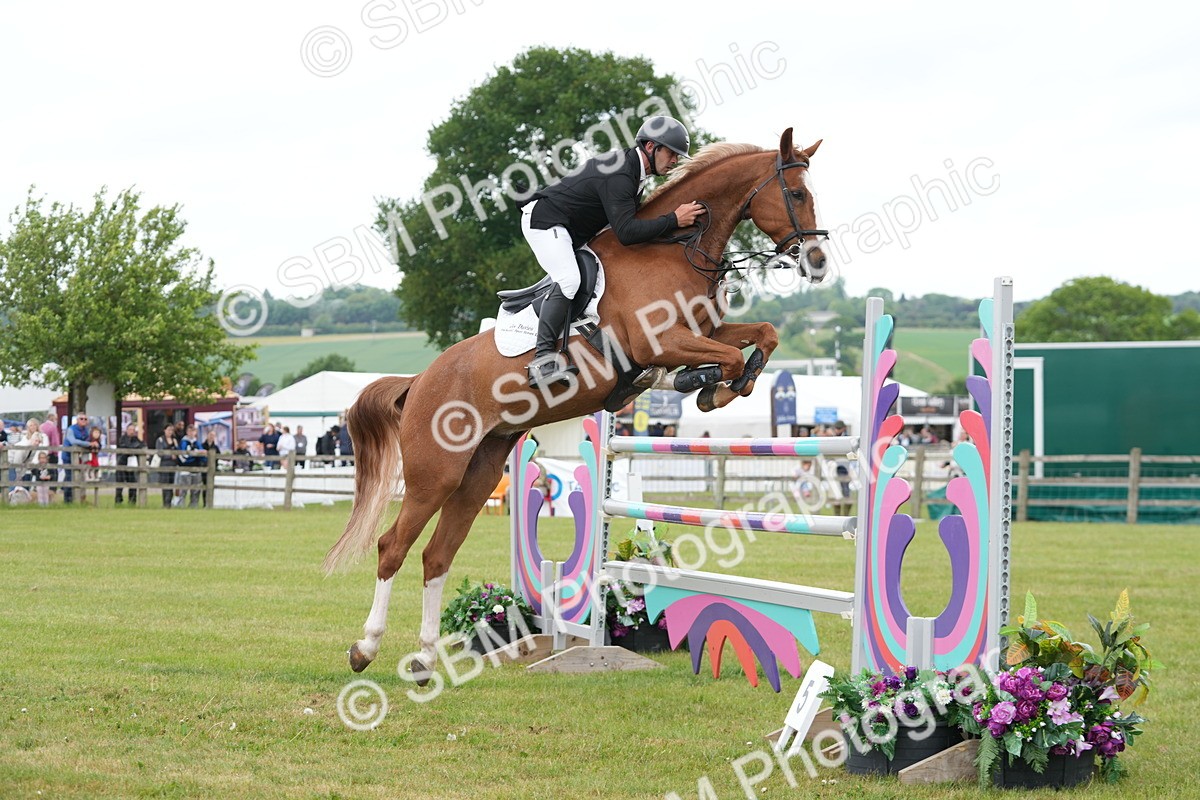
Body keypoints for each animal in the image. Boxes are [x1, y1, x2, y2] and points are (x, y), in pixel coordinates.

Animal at [323, 128, 828, 679]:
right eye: (797, 193)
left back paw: (424, 658)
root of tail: (419, 382)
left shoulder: (705, 331)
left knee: (437, 555)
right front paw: (710, 384)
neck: (676, 250)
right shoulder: (663, 341)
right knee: (393, 547)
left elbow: (764, 333)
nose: (818, 263)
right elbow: (727, 357)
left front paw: (726, 381)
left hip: (479, 470)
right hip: (435, 473)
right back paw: (365, 648)